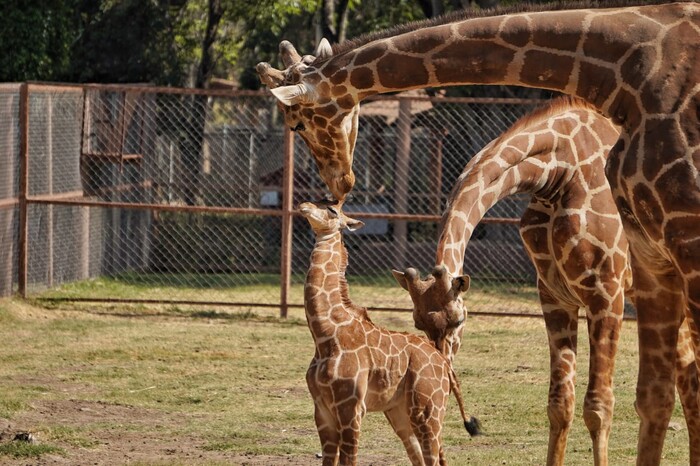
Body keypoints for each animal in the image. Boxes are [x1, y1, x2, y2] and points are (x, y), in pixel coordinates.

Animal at [299, 200, 480, 466]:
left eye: (332, 210)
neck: (325, 334)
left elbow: (349, 460)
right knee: (422, 457)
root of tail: (444, 364)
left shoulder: (351, 409)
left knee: (433, 458)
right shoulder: (321, 411)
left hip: (427, 411)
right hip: (400, 413)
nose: (304, 207)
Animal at [392, 96, 699, 465]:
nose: (440, 380)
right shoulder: (555, 296)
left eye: (459, 320)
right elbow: (560, 405)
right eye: (418, 323)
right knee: (689, 379)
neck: (556, 175)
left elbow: (598, 407)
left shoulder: (606, 292)